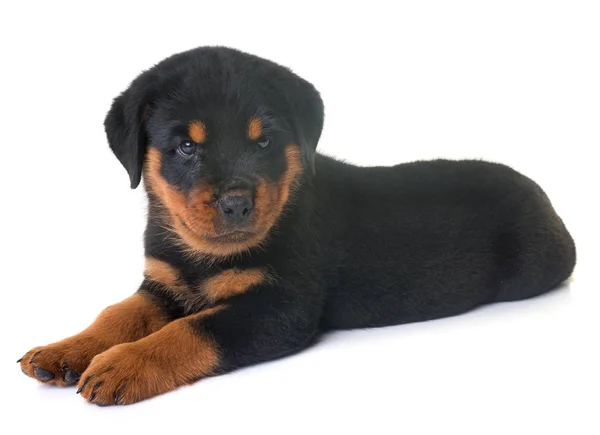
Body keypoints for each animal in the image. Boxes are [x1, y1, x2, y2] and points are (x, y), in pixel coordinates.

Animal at [18, 46, 576, 406]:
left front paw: (123, 365)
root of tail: (542, 193)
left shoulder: (280, 307)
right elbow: (117, 313)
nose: (237, 204)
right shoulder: (161, 282)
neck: (205, 255)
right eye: (186, 147)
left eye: (264, 141)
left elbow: (192, 329)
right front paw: (65, 350)